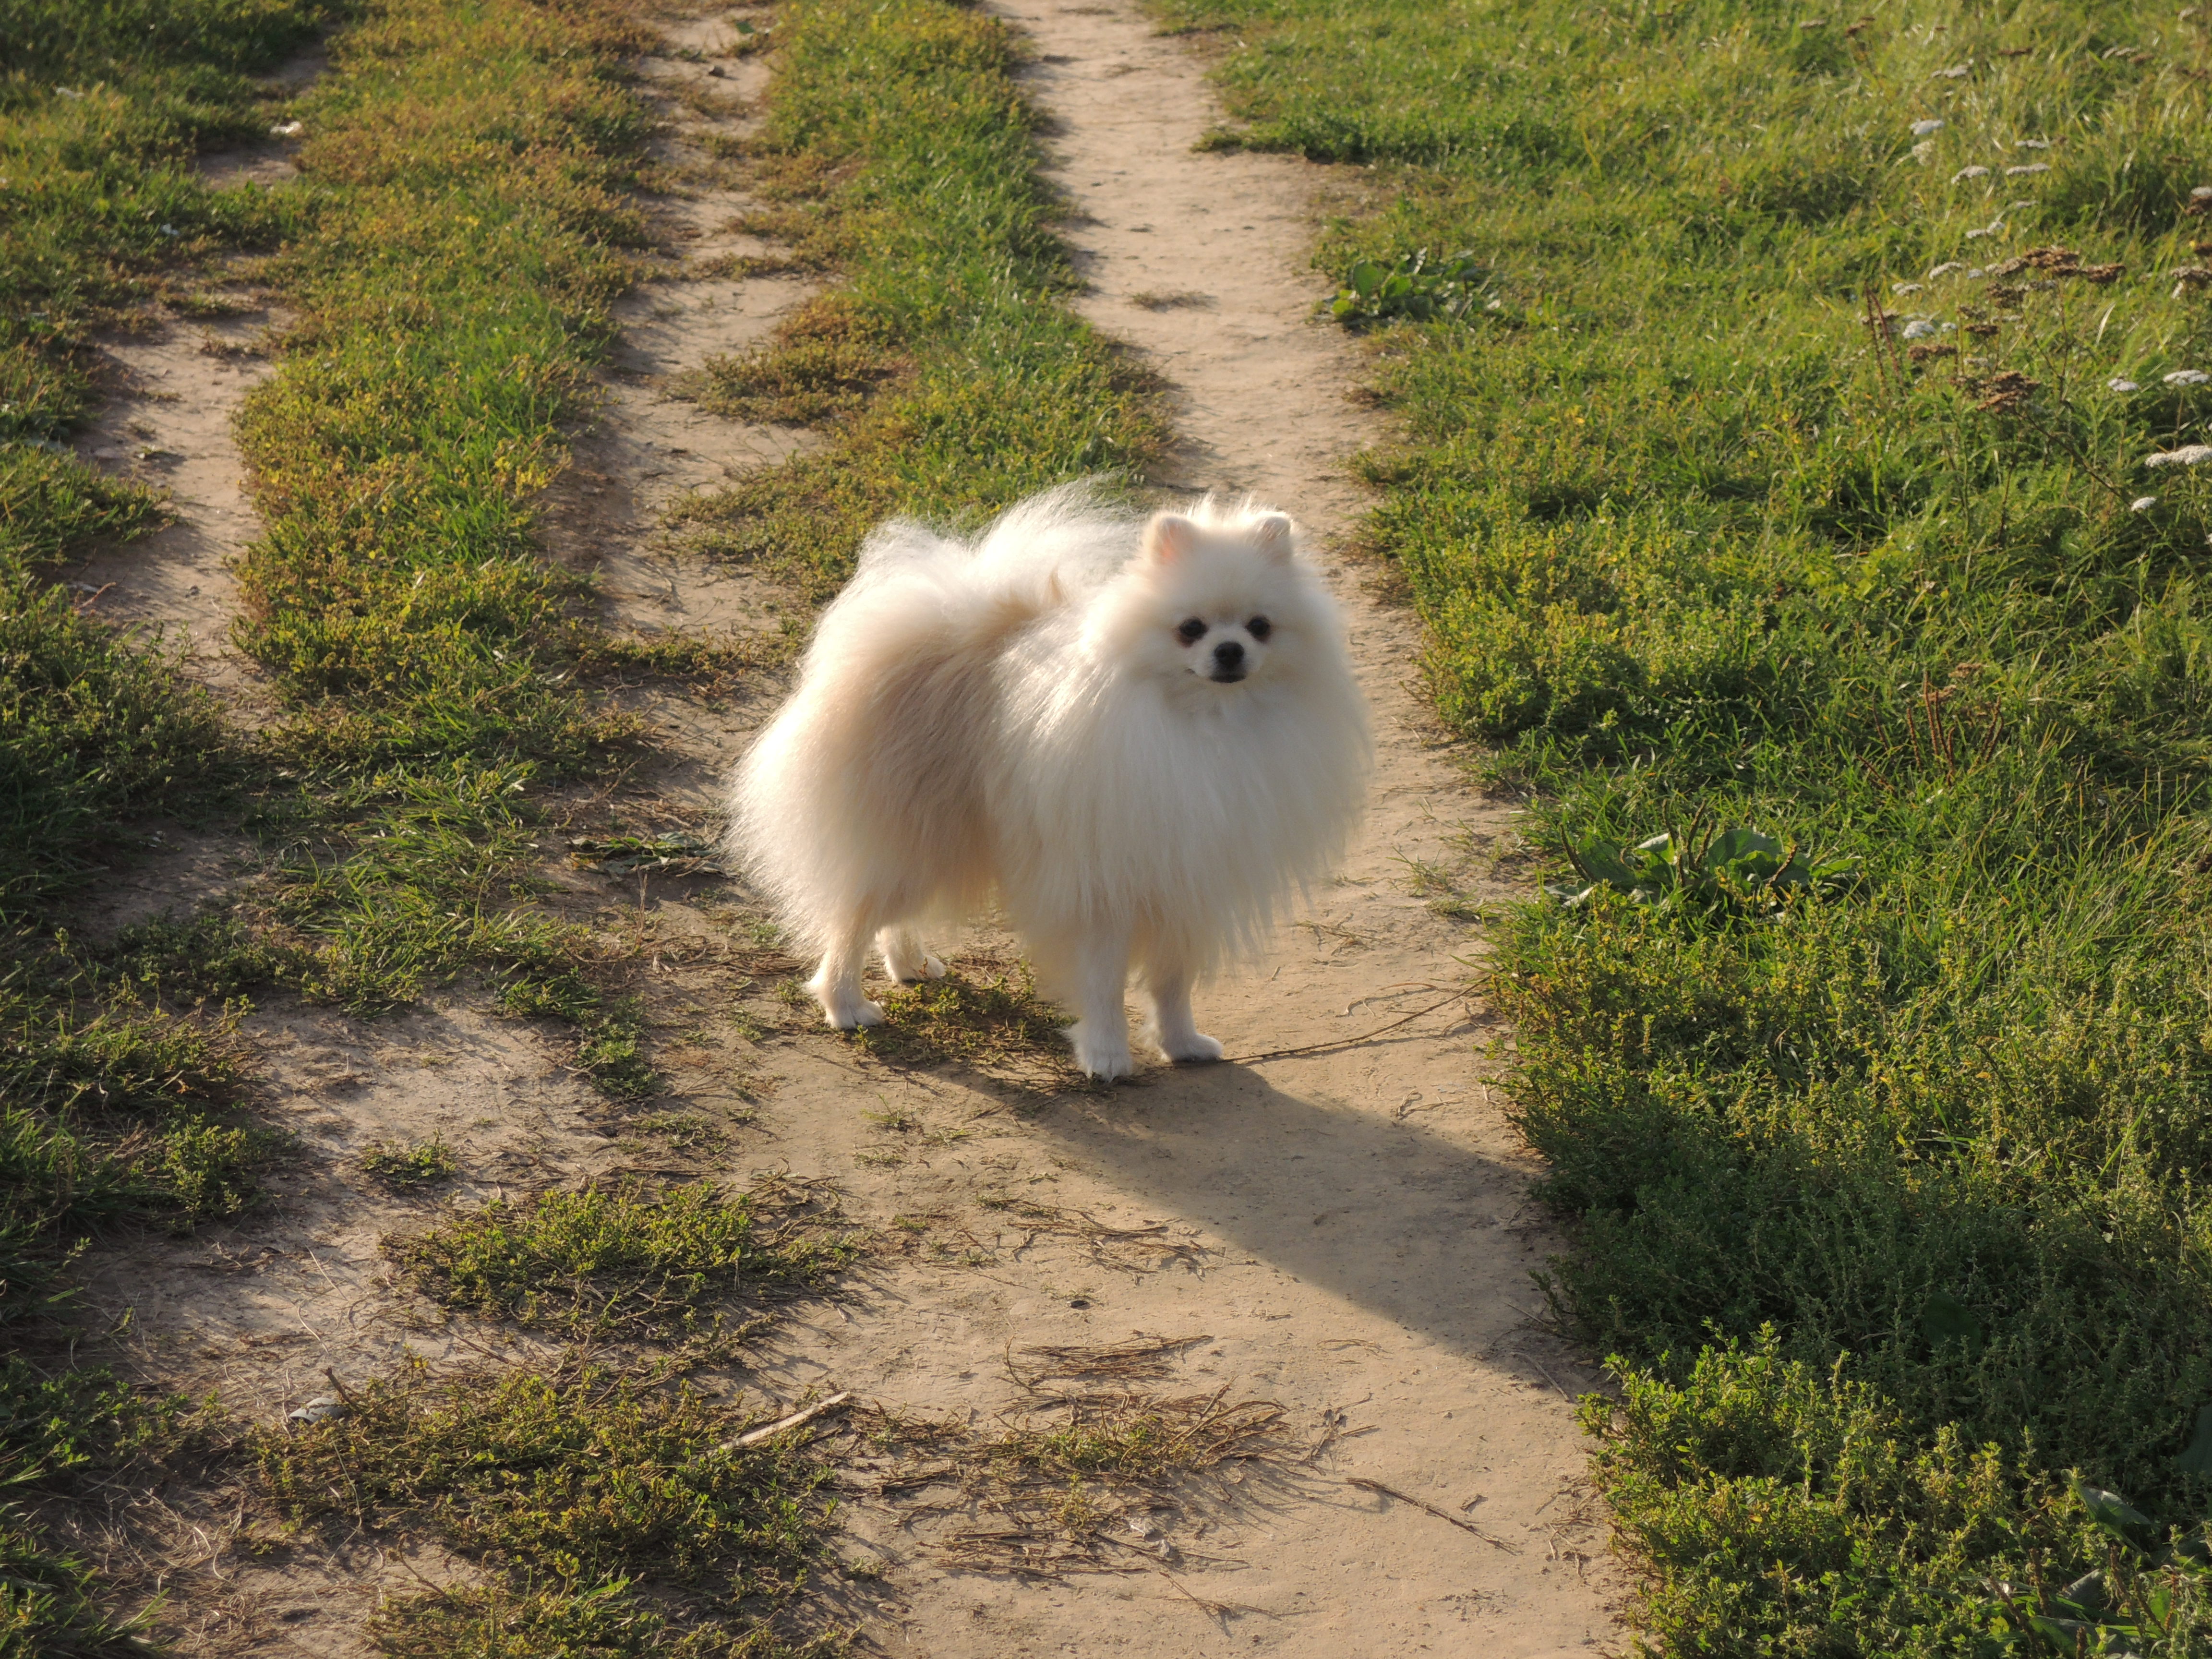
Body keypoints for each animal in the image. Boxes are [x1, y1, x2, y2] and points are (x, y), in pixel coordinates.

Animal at [726, 482, 1370, 1080]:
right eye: (1190, 629)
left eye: (1261, 627)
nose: (1231, 650)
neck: (1203, 724)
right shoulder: (1107, 882)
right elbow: (1104, 982)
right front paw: (1106, 1056)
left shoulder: (1184, 883)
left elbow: (1172, 981)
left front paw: (1182, 1043)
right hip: (914, 839)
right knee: (851, 921)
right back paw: (846, 1005)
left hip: (935, 841)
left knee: (884, 917)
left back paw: (909, 964)